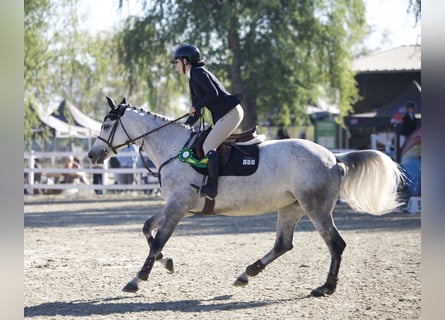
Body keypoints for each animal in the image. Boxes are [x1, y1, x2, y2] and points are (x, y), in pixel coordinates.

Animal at [86, 96, 402, 296]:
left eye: (106, 125)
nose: (92, 155)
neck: (175, 149)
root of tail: (334, 158)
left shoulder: (177, 207)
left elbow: (157, 240)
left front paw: (137, 280)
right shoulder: (176, 206)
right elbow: (147, 231)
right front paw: (168, 263)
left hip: (316, 208)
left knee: (335, 244)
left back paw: (325, 287)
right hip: (291, 207)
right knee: (283, 244)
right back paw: (246, 274)